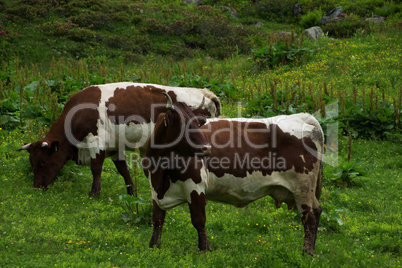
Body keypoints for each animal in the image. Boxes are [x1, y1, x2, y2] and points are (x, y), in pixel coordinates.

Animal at [16, 82, 220, 196]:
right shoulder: (115, 147)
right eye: (31, 163)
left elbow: (96, 168)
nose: (36, 187)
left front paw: (94, 193)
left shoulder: (95, 142)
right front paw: (131, 192)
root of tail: (206, 93)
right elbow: (124, 170)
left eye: (43, 162)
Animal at [144, 99, 324, 255]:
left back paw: (307, 253)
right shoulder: (155, 189)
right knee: (316, 210)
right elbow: (157, 219)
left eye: (197, 123)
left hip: (303, 188)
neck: (161, 172)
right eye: (182, 124)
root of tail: (303, 117)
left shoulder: (195, 186)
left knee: (309, 215)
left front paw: (204, 250)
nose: (206, 148)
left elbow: (198, 220)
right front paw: (154, 247)